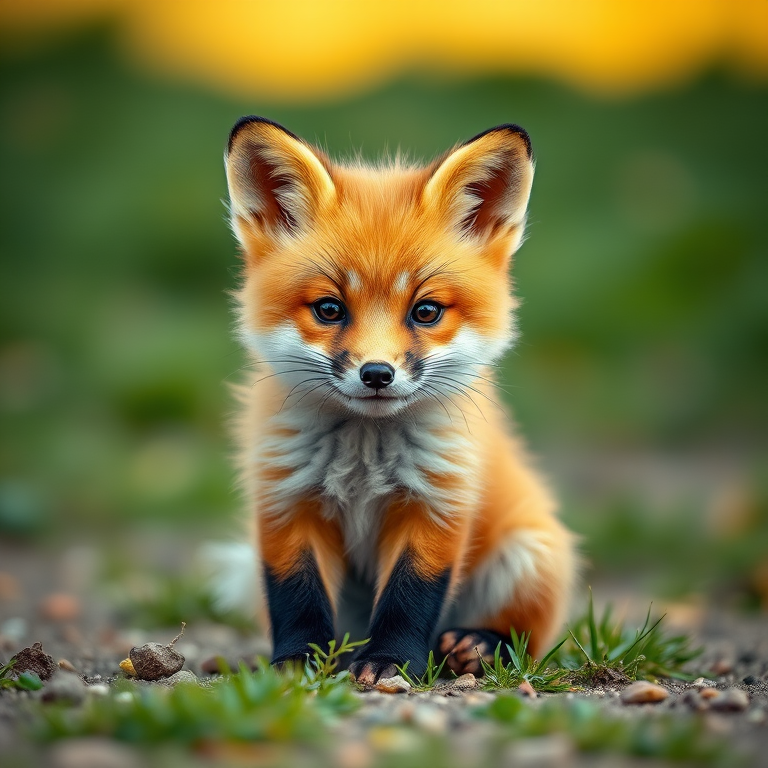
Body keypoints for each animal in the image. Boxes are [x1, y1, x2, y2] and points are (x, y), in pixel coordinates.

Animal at [224, 116, 577, 685]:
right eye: (329, 309)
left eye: (426, 311)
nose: (376, 374)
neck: (364, 459)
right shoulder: (285, 497)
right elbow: (295, 595)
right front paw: (297, 662)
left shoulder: (437, 500)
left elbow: (409, 596)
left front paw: (391, 663)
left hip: (529, 556)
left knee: (526, 639)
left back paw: (477, 645)